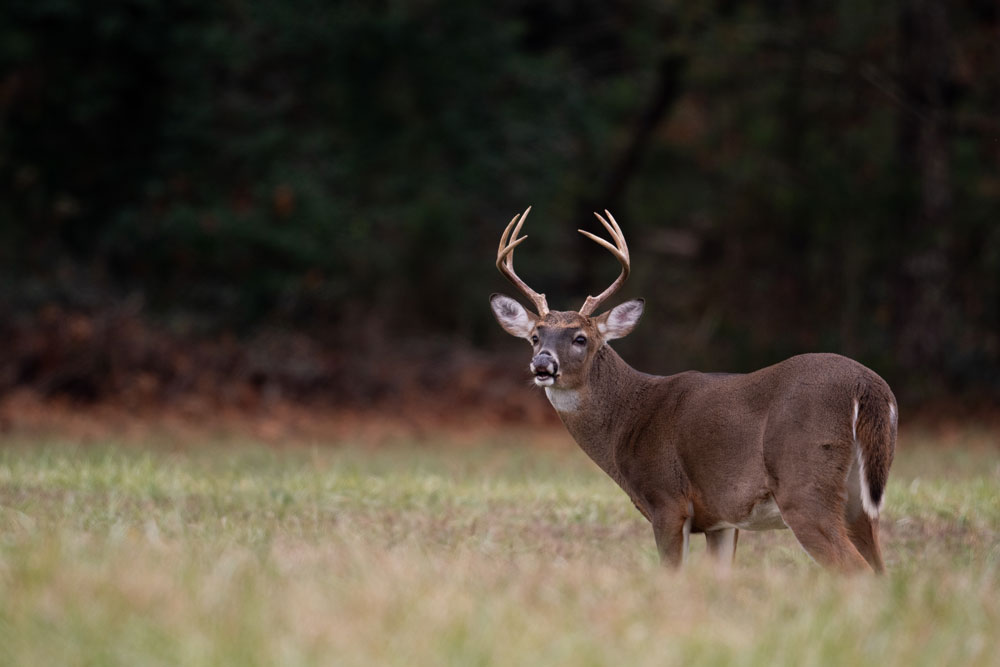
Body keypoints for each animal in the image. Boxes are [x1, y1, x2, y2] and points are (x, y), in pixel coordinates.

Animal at [492, 209, 900, 576]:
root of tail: (869, 386)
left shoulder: (668, 500)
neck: (628, 419)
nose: (543, 364)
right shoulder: (721, 519)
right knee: (881, 569)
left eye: (580, 338)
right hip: (859, 500)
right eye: (535, 337)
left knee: (855, 570)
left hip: (805, 485)